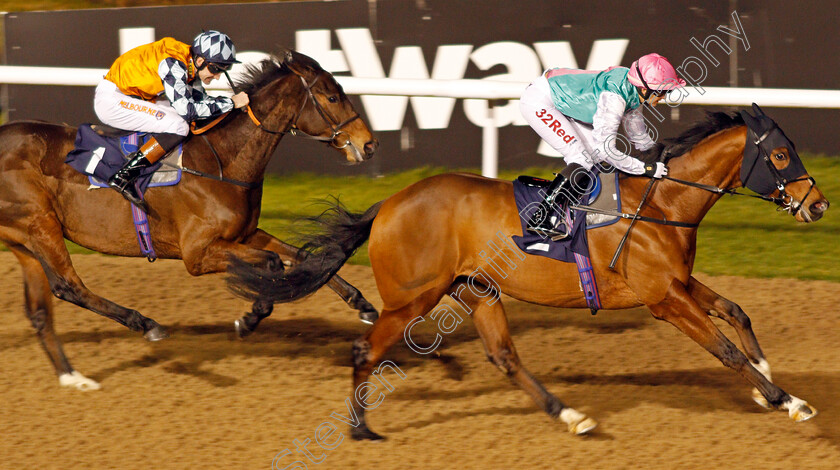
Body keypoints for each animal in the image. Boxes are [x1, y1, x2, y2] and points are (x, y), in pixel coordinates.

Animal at [0, 49, 378, 392]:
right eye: (332, 96)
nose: (369, 144)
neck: (222, 159)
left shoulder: (245, 234)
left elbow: (304, 257)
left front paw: (363, 304)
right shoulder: (197, 254)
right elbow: (273, 263)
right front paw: (250, 317)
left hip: (23, 240)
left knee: (40, 311)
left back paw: (73, 376)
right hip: (40, 223)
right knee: (68, 286)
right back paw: (146, 324)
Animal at [230, 104, 832, 438]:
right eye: (781, 155)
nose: (820, 205)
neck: (661, 203)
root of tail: (389, 205)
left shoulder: (677, 283)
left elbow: (737, 310)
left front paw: (766, 379)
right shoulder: (664, 299)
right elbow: (725, 350)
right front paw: (788, 401)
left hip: (477, 291)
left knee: (504, 358)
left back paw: (570, 416)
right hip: (411, 298)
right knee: (365, 350)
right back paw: (359, 429)